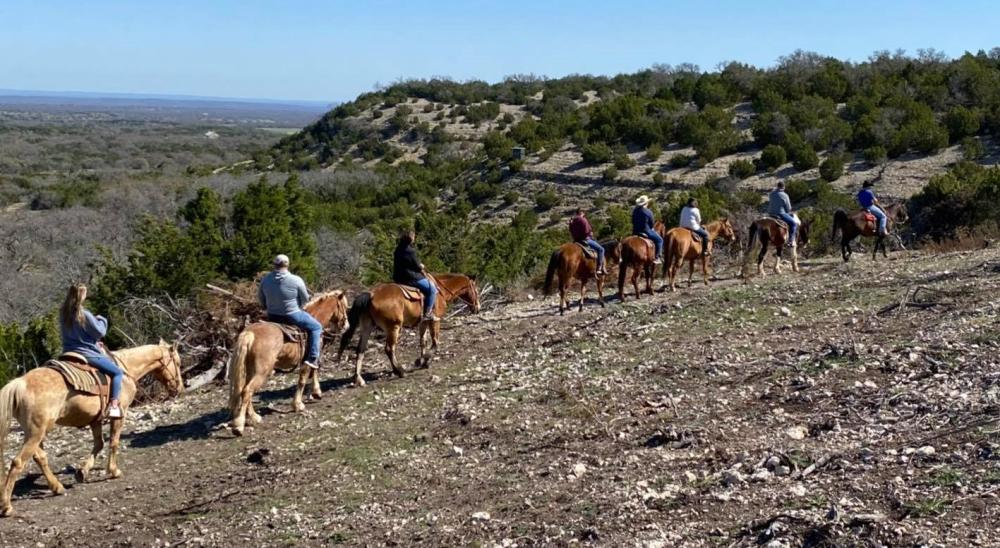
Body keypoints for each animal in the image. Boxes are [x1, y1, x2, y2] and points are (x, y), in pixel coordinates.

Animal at [0, 340, 184, 516]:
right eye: (178, 362)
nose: (179, 388)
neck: (126, 369)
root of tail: (20, 383)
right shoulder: (120, 415)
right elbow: (114, 442)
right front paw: (114, 471)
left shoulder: (95, 420)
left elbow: (99, 444)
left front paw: (82, 471)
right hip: (36, 432)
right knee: (18, 462)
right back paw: (6, 506)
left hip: (35, 433)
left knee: (40, 457)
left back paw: (57, 487)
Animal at [229, 292, 350, 436]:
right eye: (344, 306)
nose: (347, 325)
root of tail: (250, 333)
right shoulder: (311, 356)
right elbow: (304, 378)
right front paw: (299, 404)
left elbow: (313, 372)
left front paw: (315, 393)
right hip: (262, 372)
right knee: (247, 391)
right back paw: (239, 426)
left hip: (250, 370)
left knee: (244, 390)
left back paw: (254, 417)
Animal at [338, 272, 482, 386]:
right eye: (476, 290)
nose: (478, 308)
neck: (440, 291)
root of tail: (371, 294)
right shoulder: (435, 321)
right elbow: (435, 343)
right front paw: (421, 360)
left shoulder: (424, 322)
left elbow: (423, 342)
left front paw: (424, 361)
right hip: (394, 327)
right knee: (389, 349)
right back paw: (400, 371)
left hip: (367, 327)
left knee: (360, 350)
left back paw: (359, 379)